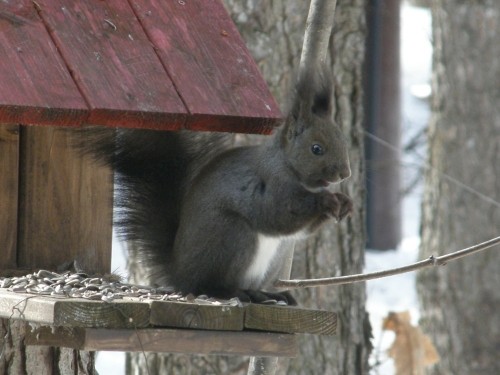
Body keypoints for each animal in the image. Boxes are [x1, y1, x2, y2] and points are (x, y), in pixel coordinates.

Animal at [78, 67, 352, 306]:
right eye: (316, 149)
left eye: (342, 139)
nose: (345, 174)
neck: (289, 166)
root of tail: (179, 274)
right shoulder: (270, 184)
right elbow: (277, 214)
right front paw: (326, 201)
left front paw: (344, 203)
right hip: (231, 235)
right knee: (207, 285)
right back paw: (232, 292)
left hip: (276, 254)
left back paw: (268, 294)